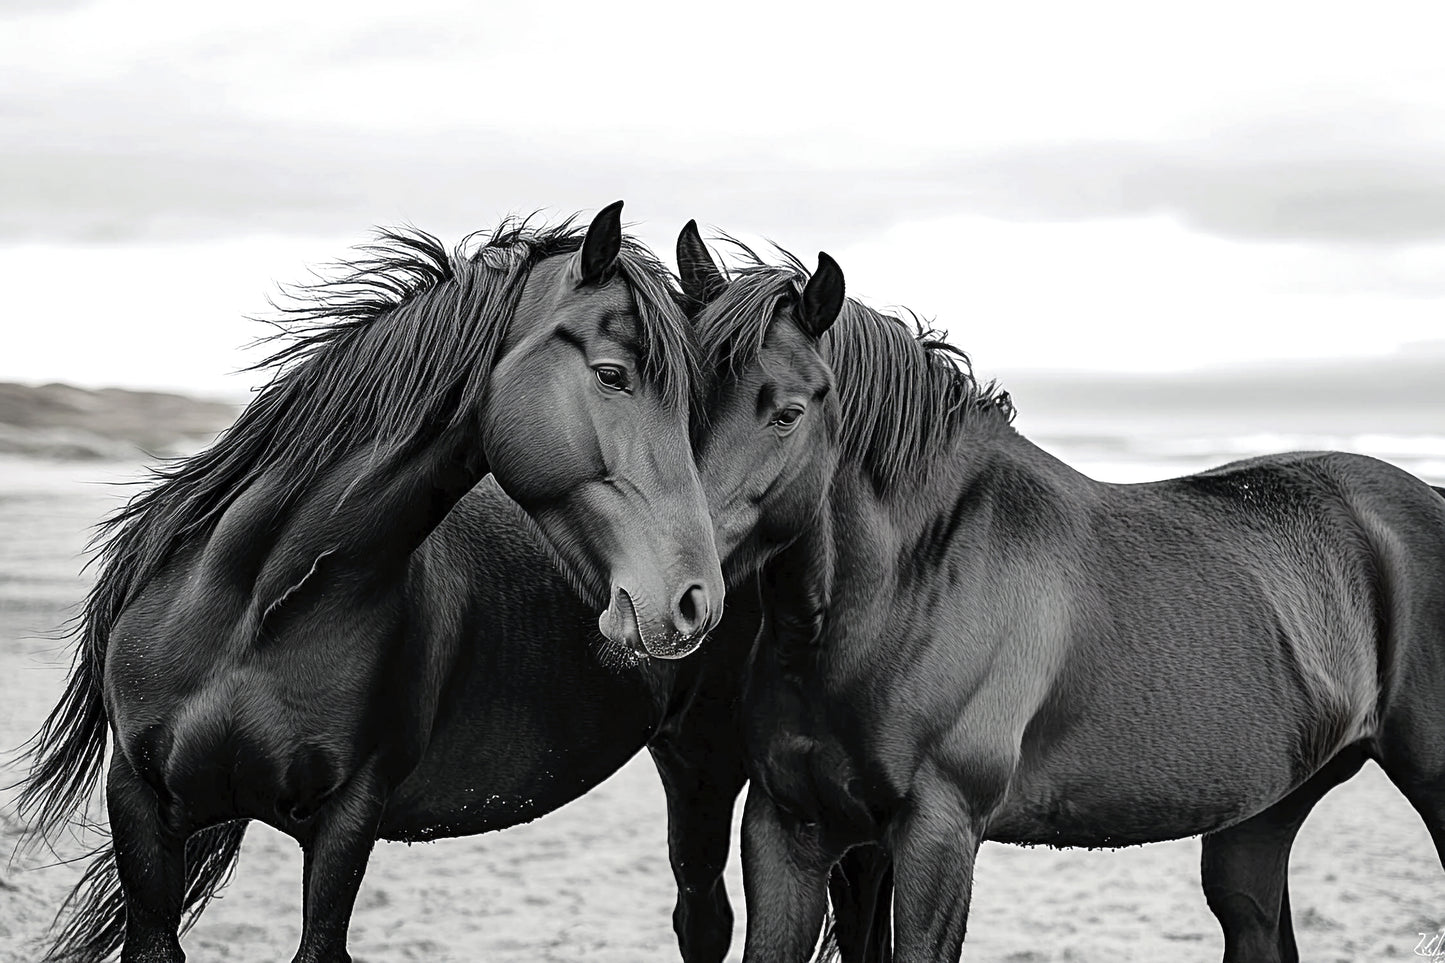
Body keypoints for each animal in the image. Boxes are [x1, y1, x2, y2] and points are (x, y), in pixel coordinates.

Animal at [680, 236, 1445, 963]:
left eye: (788, 412)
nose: (686, 584)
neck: (902, 592)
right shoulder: (785, 829)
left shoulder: (938, 831)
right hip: (1260, 816)